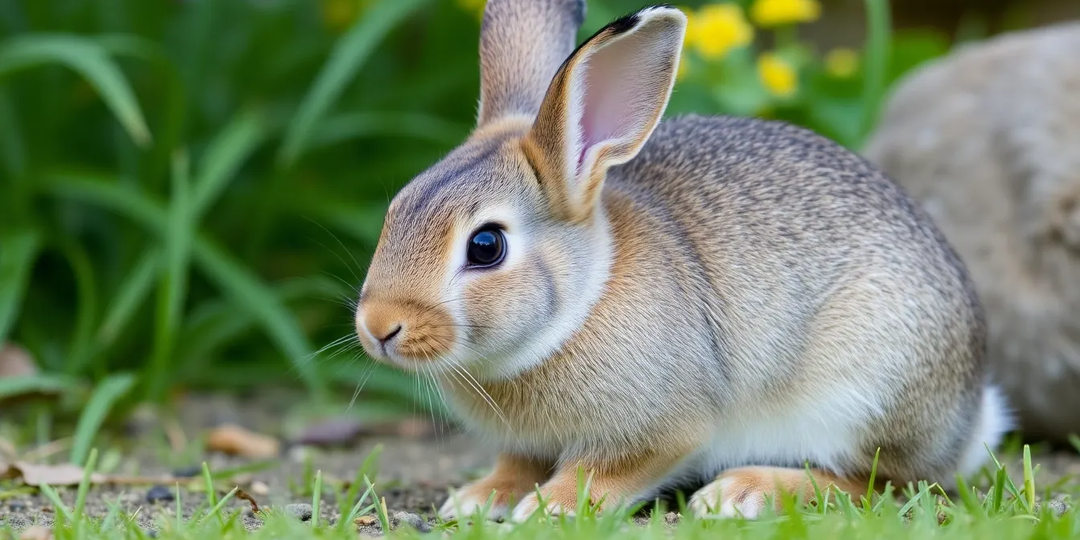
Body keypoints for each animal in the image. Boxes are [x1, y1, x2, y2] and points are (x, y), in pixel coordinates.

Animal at [354, 0, 1010, 522]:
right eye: (397, 207)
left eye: (486, 246)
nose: (378, 327)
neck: (580, 301)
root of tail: (969, 419)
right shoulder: (528, 443)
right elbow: (518, 463)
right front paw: (479, 498)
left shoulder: (662, 429)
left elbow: (607, 471)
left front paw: (550, 509)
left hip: (866, 388)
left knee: (883, 482)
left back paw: (744, 493)